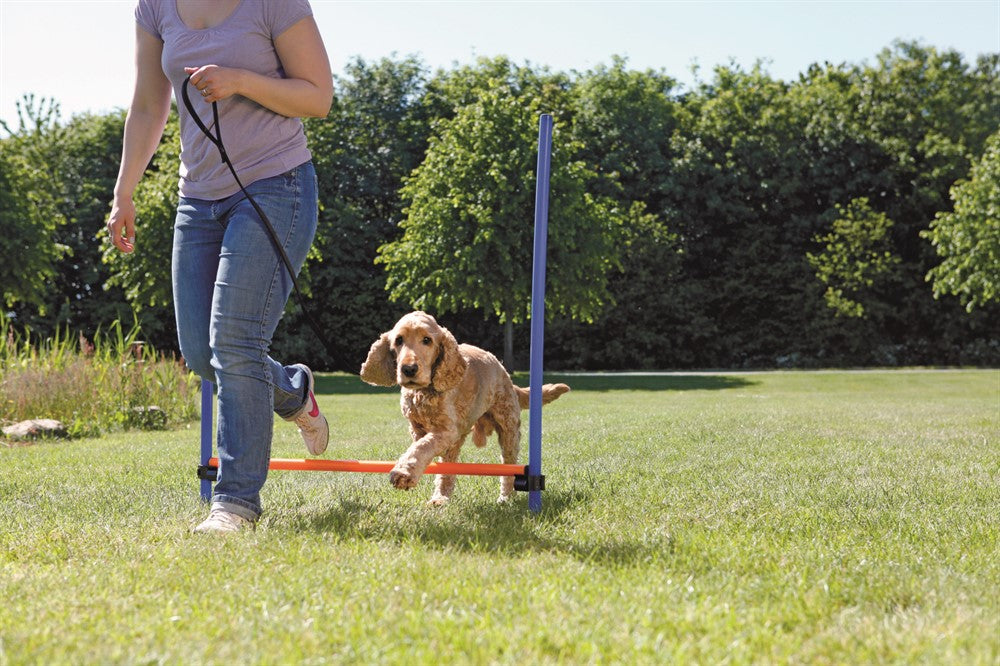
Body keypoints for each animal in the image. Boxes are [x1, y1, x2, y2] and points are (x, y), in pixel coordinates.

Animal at [360, 312, 568, 504]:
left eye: (427, 340)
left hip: (508, 426)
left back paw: (506, 497)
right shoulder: (417, 426)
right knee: (448, 467)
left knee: (509, 463)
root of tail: (504, 372)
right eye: (399, 340)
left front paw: (403, 473)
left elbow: (422, 446)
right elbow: (421, 444)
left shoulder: (447, 430)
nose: (409, 369)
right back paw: (440, 498)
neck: (424, 391)